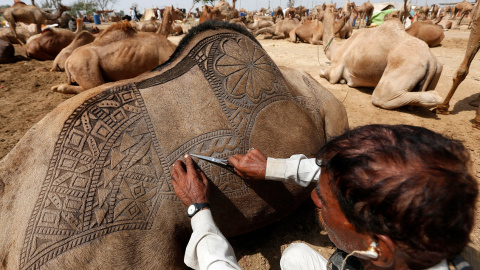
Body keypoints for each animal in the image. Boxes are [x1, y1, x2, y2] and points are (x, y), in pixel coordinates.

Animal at [50, 6, 182, 95]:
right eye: (177, 11)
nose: (183, 15)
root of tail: (68, 61)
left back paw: (55, 88)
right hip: (83, 66)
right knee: (92, 87)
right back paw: (58, 88)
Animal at [316, 5, 444, 109]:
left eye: (317, 9)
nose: (314, 14)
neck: (337, 48)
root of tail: (430, 59)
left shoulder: (335, 69)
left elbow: (322, 72)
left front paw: (340, 79)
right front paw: (343, 80)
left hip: (405, 66)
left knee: (381, 97)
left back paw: (436, 97)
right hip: (438, 67)